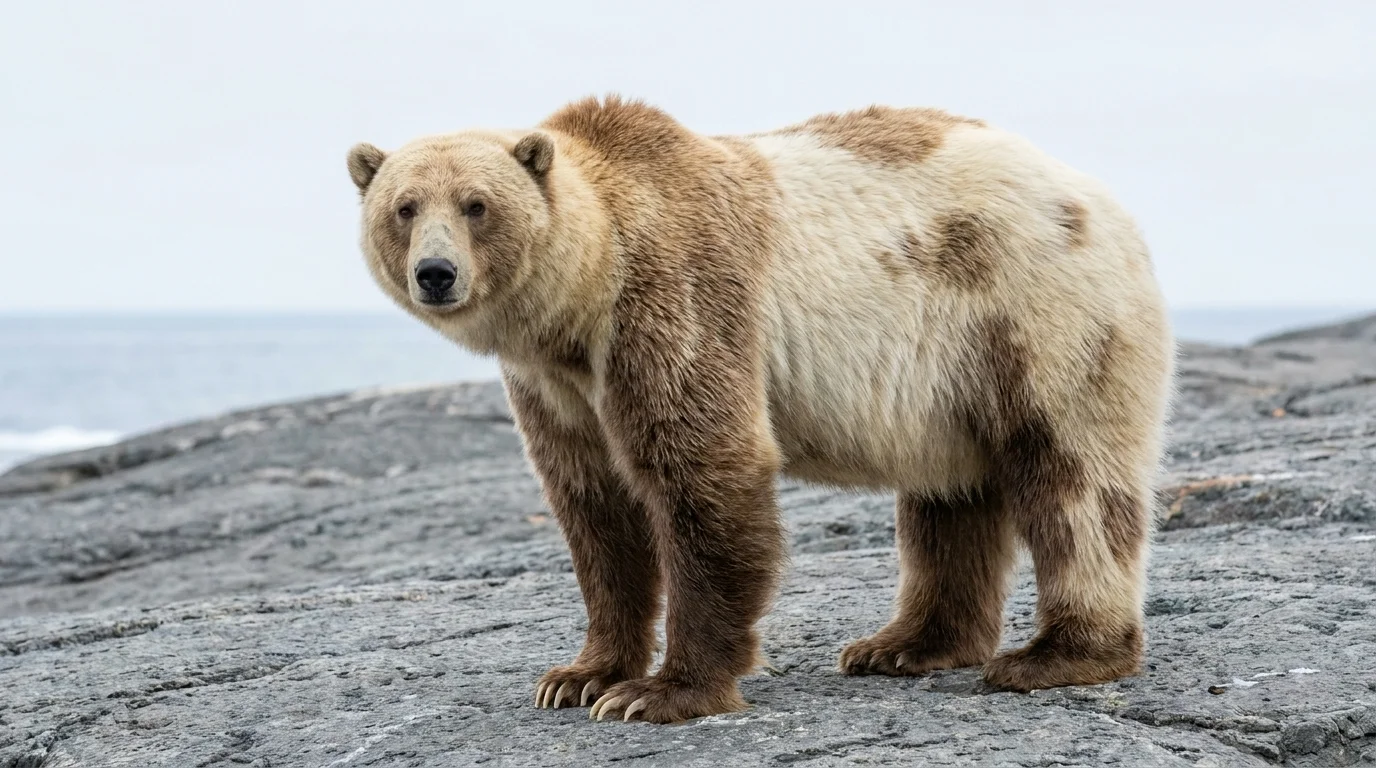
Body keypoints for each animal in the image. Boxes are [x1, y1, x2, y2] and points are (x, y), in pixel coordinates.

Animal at [346, 95, 1176, 724]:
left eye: (476, 205)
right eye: (404, 207)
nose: (436, 272)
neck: (582, 302)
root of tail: (1103, 201)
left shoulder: (672, 296)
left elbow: (702, 469)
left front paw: (660, 692)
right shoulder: (555, 385)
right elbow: (594, 509)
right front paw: (578, 675)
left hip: (1038, 314)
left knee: (1074, 479)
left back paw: (1057, 655)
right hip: (949, 378)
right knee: (950, 497)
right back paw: (903, 644)